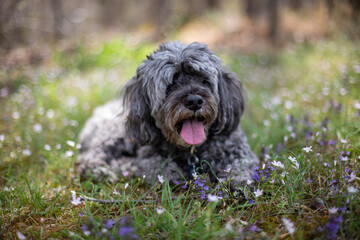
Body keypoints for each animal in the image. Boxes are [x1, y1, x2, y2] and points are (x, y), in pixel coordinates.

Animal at [77, 41, 260, 188]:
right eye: (170, 84)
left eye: (203, 80)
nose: (194, 101)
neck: (191, 152)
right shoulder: (148, 154)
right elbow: (158, 165)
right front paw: (171, 174)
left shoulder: (236, 149)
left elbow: (242, 165)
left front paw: (240, 180)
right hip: (114, 135)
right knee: (91, 158)